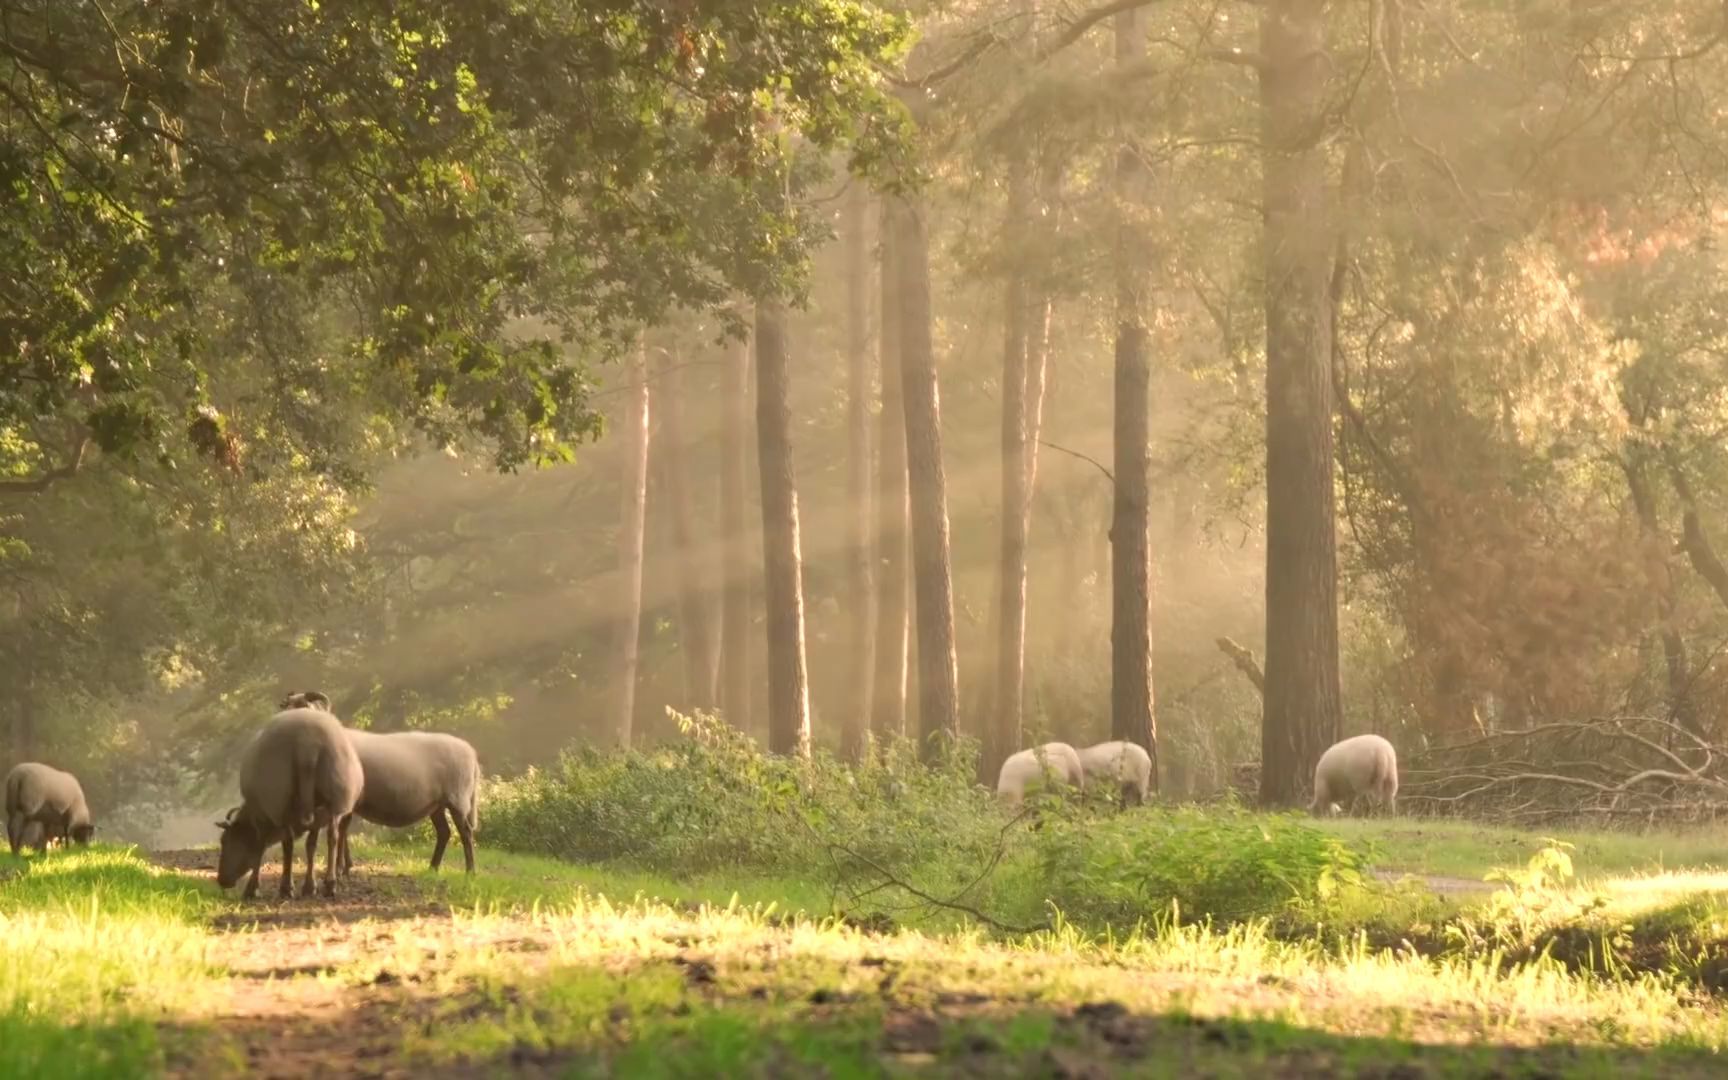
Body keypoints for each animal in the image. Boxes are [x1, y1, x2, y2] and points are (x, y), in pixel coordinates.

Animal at [217, 705, 362, 898]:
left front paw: (252, 888)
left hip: (281, 800)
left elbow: (259, 848)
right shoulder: (318, 818)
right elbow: (311, 846)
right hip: (334, 798)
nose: (221, 880)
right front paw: (310, 886)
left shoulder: (261, 816)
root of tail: (308, 743)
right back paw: (330, 884)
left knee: (289, 843)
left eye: (224, 841)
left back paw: (286, 887)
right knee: (332, 837)